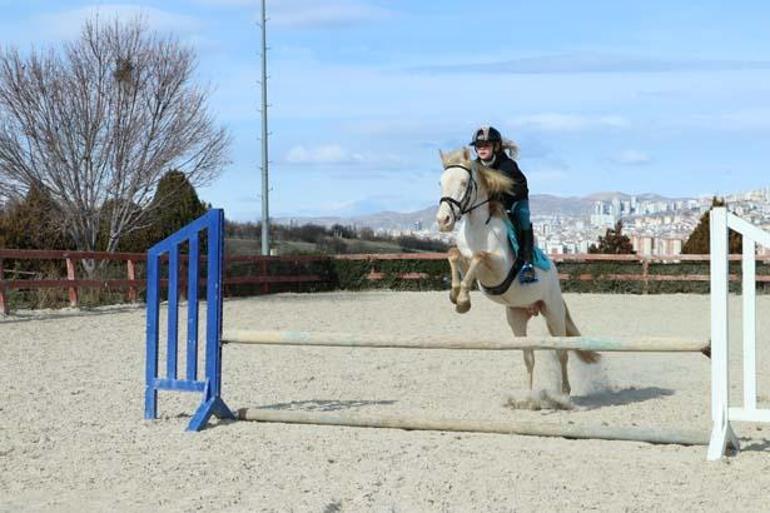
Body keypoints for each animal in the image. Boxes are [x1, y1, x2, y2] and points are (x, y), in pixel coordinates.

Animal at [436, 147, 596, 396]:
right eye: (440, 182)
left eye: (463, 183)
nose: (443, 220)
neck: (478, 227)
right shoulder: (467, 260)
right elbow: (454, 254)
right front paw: (456, 294)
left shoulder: (498, 268)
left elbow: (479, 256)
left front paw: (462, 301)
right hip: (517, 318)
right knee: (529, 357)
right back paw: (528, 397)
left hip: (554, 312)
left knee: (561, 352)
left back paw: (564, 393)